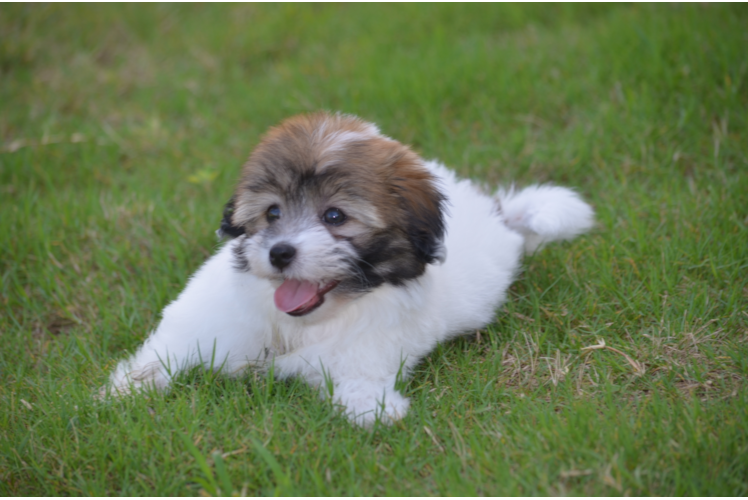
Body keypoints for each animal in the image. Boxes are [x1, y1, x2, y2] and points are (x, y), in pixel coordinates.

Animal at [106, 112, 596, 426]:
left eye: (335, 216)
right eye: (272, 212)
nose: (280, 253)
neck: (295, 325)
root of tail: (493, 211)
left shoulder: (369, 347)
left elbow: (359, 383)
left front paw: (373, 408)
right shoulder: (207, 318)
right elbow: (165, 351)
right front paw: (123, 391)